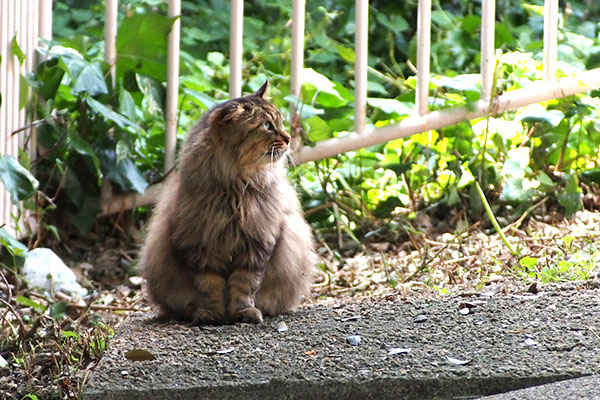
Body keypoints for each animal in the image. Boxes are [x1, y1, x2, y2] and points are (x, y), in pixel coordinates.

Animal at [139, 81, 316, 324]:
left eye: (280, 122)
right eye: (267, 126)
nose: (289, 138)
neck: (235, 188)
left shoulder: (257, 243)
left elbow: (245, 285)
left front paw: (243, 313)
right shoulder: (200, 245)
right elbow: (210, 286)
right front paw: (211, 314)